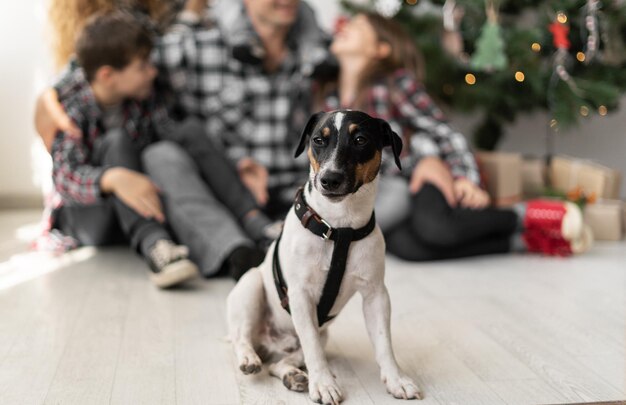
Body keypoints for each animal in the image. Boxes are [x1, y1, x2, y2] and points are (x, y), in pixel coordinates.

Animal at [227, 109, 422, 402]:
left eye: (360, 139)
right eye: (318, 140)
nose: (329, 179)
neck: (339, 228)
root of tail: (270, 345)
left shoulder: (376, 294)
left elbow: (384, 342)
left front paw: (396, 379)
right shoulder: (300, 296)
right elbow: (313, 348)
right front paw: (324, 385)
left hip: (322, 335)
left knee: (279, 363)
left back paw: (293, 375)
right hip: (250, 289)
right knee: (242, 338)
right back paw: (250, 358)